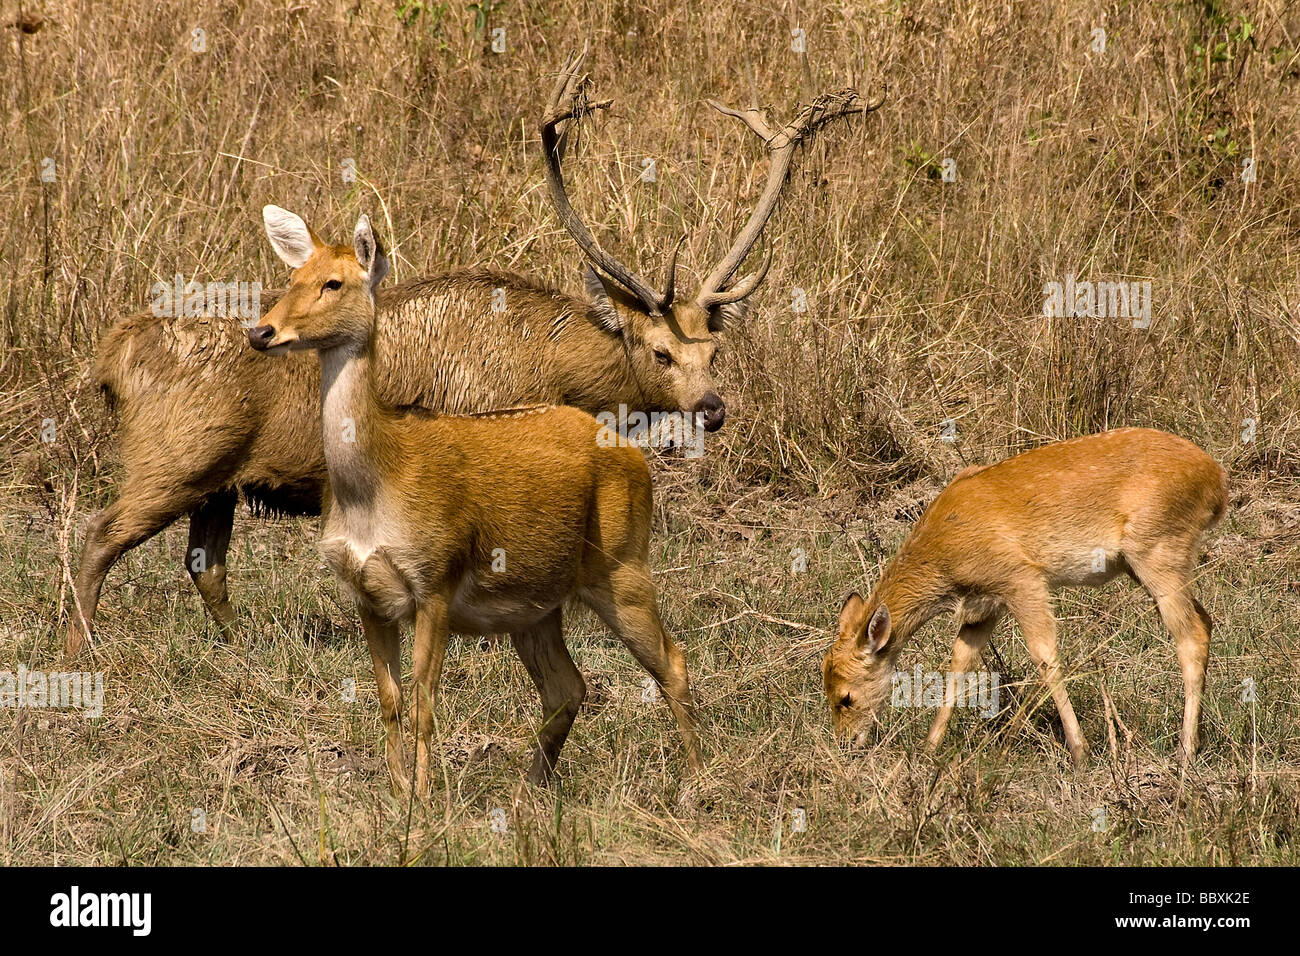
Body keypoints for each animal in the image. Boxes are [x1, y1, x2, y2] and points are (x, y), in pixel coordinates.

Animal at [58, 48, 873, 658]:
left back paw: (239, 645)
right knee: (97, 536)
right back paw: (85, 648)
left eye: (713, 348)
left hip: (219, 483)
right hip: (174, 459)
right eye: (657, 351)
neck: (560, 371)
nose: (712, 408)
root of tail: (113, 359)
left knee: (207, 564)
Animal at [244, 205, 702, 796]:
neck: (374, 487)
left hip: (625, 564)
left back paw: (699, 779)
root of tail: (630, 453)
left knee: (673, 661)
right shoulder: (365, 595)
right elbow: (390, 699)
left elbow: (425, 701)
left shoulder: (435, 580)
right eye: (294, 276)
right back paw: (530, 790)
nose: (261, 331)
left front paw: (422, 796)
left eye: (333, 282)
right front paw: (396, 791)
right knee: (568, 687)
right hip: (535, 605)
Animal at [821, 429, 1227, 764]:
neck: (942, 550)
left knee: (1190, 637)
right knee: (1205, 621)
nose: (846, 744)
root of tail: (1216, 480)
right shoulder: (983, 608)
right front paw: (929, 748)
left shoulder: (1022, 581)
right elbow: (958, 666)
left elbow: (1045, 657)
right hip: (1147, 566)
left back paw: (1185, 751)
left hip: (1158, 554)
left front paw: (1080, 752)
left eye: (846, 697)